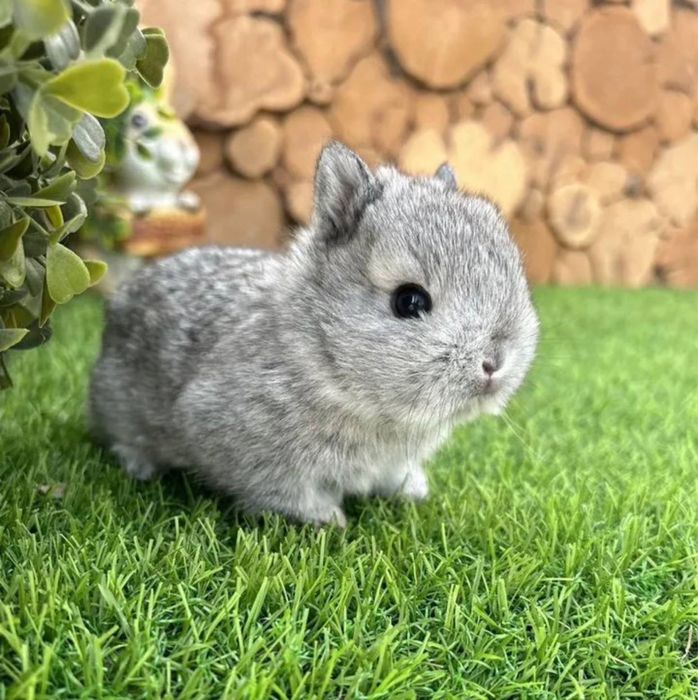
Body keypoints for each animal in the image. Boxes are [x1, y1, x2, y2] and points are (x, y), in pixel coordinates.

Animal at [89, 142, 539, 527]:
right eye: (409, 301)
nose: (494, 364)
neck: (321, 354)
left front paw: (412, 490)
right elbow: (284, 491)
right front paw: (328, 519)